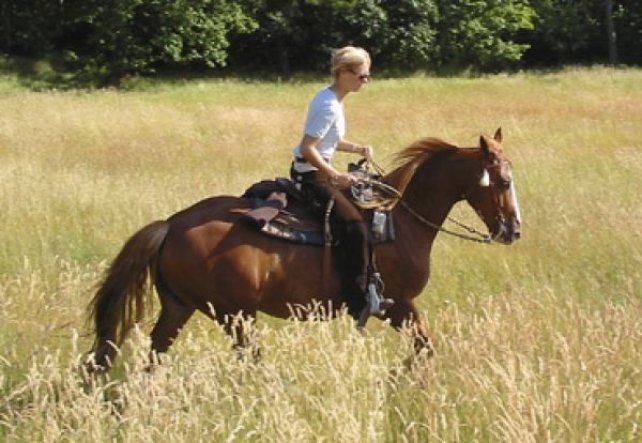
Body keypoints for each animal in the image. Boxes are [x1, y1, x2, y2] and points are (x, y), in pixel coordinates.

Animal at [86, 128, 520, 372]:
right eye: (501, 181)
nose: (513, 230)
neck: (401, 223)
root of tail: (172, 225)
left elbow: (424, 349)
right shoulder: (397, 304)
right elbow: (424, 348)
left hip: (180, 307)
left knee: (153, 358)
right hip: (235, 315)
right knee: (249, 364)